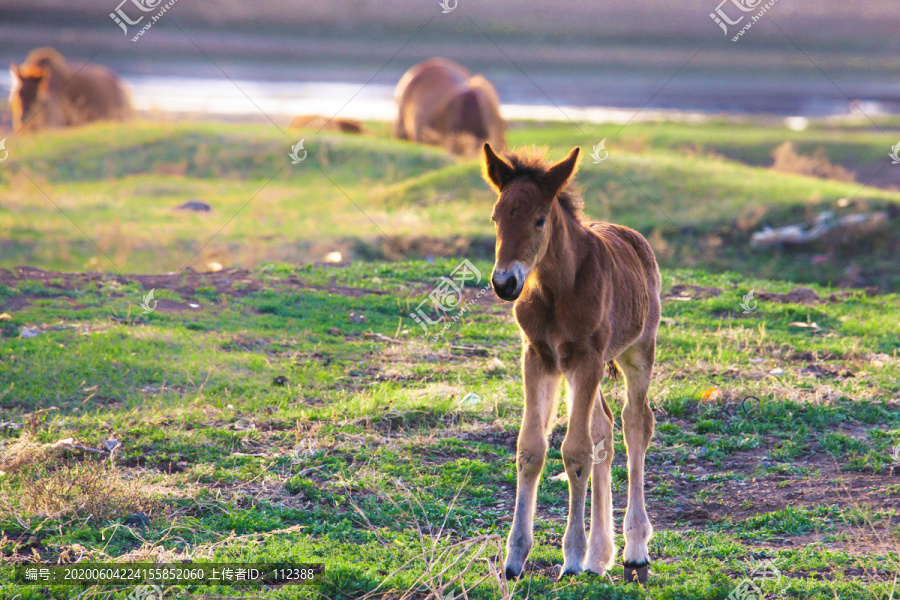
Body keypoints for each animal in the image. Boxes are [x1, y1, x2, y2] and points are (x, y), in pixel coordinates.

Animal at [486, 143, 660, 584]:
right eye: (496, 216)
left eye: (539, 219)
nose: (504, 283)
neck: (555, 290)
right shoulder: (538, 357)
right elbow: (531, 448)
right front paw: (515, 558)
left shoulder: (586, 357)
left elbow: (576, 451)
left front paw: (572, 556)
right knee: (605, 427)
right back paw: (601, 555)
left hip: (638, 350)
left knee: (635, 422)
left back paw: (634, 549)